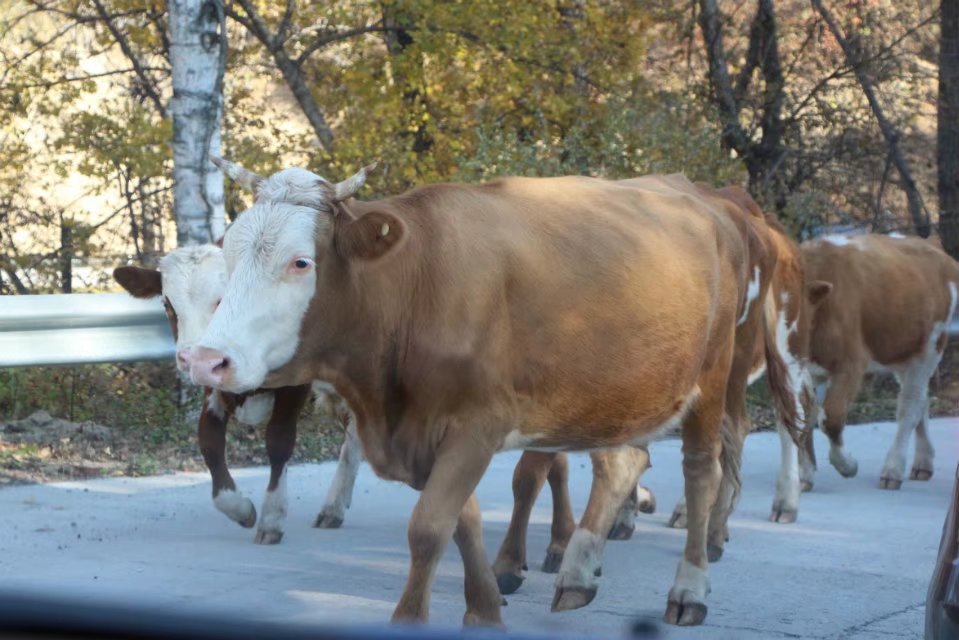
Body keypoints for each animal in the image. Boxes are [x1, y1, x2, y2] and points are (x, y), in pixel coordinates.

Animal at [184, 158, 800, 628]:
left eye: (300, 261)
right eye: (230, 257)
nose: (207, 360)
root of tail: (715, 203)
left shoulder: (476, 424)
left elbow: (429, 527)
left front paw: (413, 619)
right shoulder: (430, 431)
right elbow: (465, 521)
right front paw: (485, 608)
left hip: (712, 378)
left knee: (702, 472)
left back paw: (689, 588)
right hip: (619, 391)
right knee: (623, 461)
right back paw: (579, 571)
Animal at [800, 235, 956, 490]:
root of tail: (931, 245)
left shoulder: (851, 362)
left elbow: (832, 418)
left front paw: (847, 465)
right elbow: (804, 415)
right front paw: (804, 475)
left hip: (929, 348)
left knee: (909, 406)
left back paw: (893, 470)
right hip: (900, 351)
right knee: (921, 400)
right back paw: (923, 464)